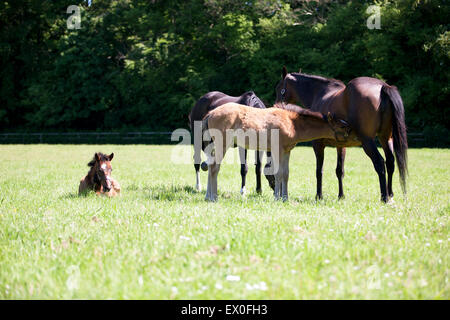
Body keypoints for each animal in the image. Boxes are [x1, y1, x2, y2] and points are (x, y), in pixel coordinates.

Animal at [201, 102, 352, 201]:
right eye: (342, 126)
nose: (351, 135)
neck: (292, 123)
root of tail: (211, 113)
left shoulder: (286, 151)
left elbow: (285, 174)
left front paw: (285, 197)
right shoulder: (277, 149)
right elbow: (278, 173)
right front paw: (278, 198)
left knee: (210, 166)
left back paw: (208, 196)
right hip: (222, 144)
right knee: (214, 168)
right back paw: (214, 197)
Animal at [274, 67, 408, 202]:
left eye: (280, 88)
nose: (276, 105)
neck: (319, 94)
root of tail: (383, 87)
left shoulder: (318, 145)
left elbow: (319, 171)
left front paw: (319, 196)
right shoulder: (341, 146)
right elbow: (339, 171)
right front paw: (341, 196)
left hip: (368, 141)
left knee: (380, 163)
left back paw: (384, 197)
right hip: (385, 138)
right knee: (390, 162)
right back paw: (390, 194)